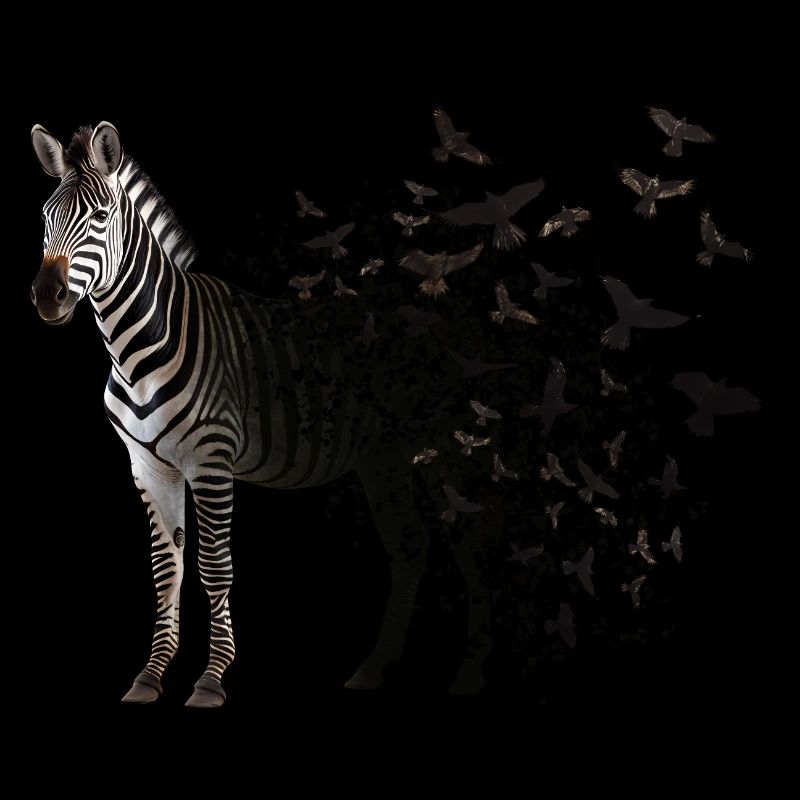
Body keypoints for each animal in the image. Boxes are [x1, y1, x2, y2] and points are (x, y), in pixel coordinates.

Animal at [30, 122, 493, 706]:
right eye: (45, 218)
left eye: (100, 217)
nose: (47, 297)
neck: (139, 349)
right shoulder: (148, 466)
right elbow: (166, 569)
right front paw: (151, 675)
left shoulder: (211, 461)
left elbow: (214, 567)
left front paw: (211, 679)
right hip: (384, 458)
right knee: (410, 544)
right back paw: (373, 668)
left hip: (448, 448)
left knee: (471, 543)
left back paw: (471, 673)